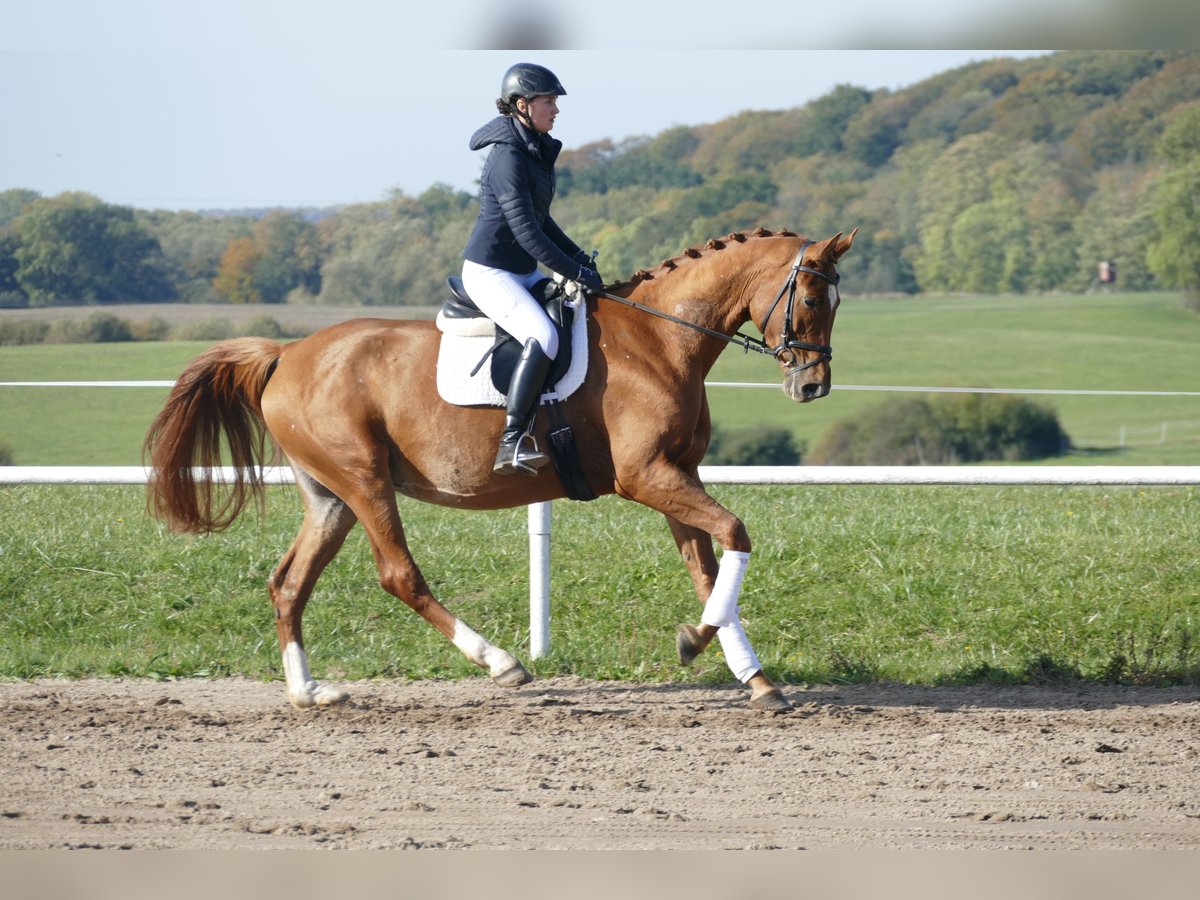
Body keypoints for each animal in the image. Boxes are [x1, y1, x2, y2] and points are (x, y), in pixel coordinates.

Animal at [145, 225, 859, 710]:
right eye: (811, 298)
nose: (813, 386)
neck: (660, 338)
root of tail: (288, 352)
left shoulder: (676, 474)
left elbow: (708, 568)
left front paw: (752, 676)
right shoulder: (647, 477)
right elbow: (735, 534)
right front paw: (697, 641)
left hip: (331, 496)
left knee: (289, 583)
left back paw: (309, 692)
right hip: (365, 482)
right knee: (398, 575)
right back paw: (501, 663)